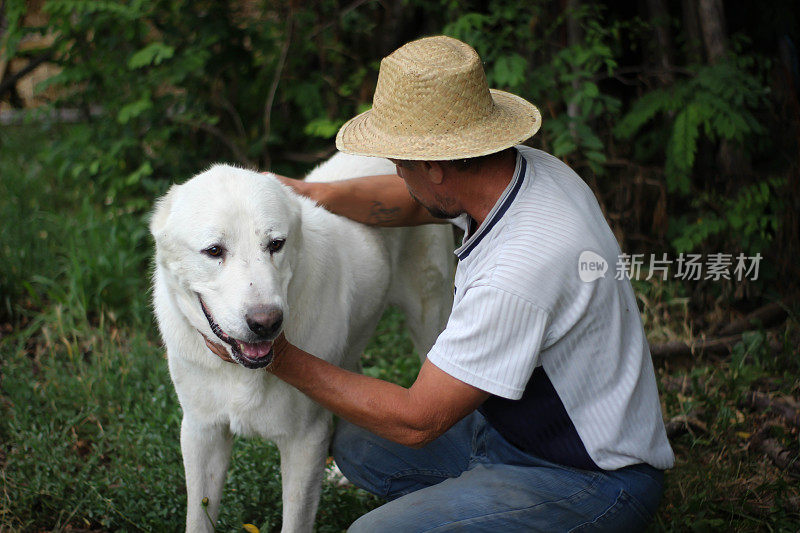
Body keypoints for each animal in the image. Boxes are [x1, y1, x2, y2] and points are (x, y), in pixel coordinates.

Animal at [148, 152, 454, 528]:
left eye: (275, 244)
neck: (242, 371)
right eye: (214, 250)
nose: (266, 323)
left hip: (430, 322)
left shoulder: (305, 442)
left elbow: (295, 522)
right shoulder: (201, 431)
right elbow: (199, 517)